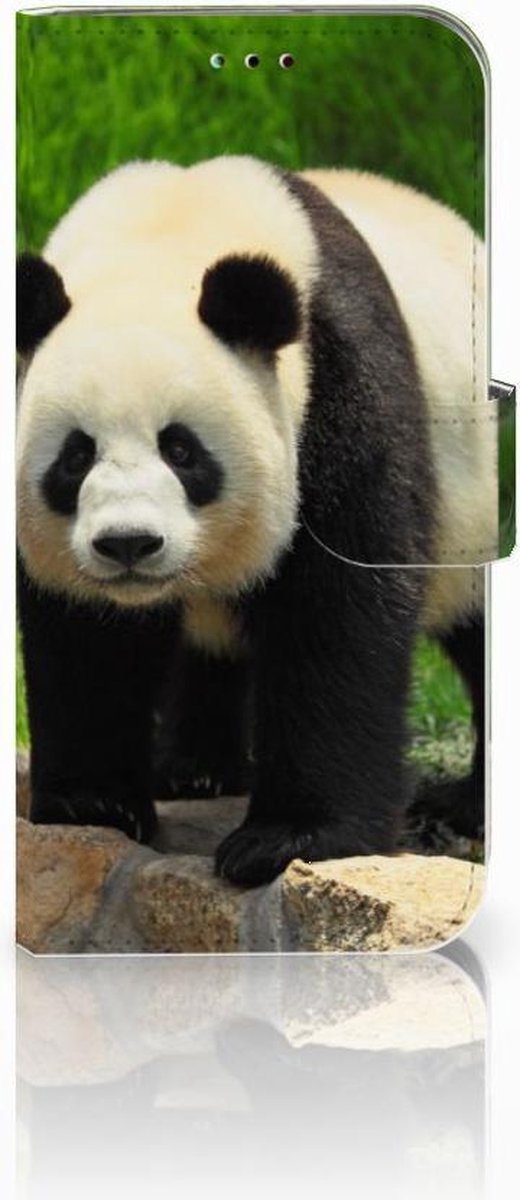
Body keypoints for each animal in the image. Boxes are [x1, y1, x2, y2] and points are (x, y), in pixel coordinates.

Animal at [16, 156, 494, 887]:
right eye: (75, 456)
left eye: (182, 450)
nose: (128, 544)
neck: (165, 237)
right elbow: (84, 636)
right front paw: (91, 803)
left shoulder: (339, 384)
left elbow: (338, 610)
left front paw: (290, 838)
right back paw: (194, 769)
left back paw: (465, 804)